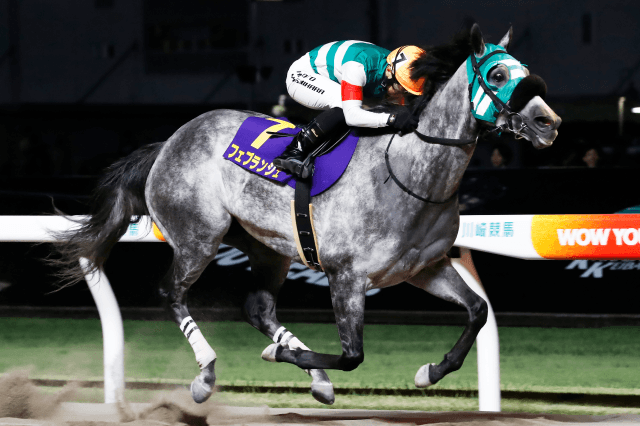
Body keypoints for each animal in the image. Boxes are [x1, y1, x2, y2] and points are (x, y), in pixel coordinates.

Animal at [52, 24, 560, 406]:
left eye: (527, 73)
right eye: (497, 73)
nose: (549, 123)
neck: (410, 175)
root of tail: (169, 141)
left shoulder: (424, 268)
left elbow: (478, 311)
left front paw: (430, 372)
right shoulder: (347, 276)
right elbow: (352, 355)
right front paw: (277, 358)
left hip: (269, 247)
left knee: (258, 307)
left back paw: (314, 378)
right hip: (199, 236)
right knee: (172, 292)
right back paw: (207, 372)